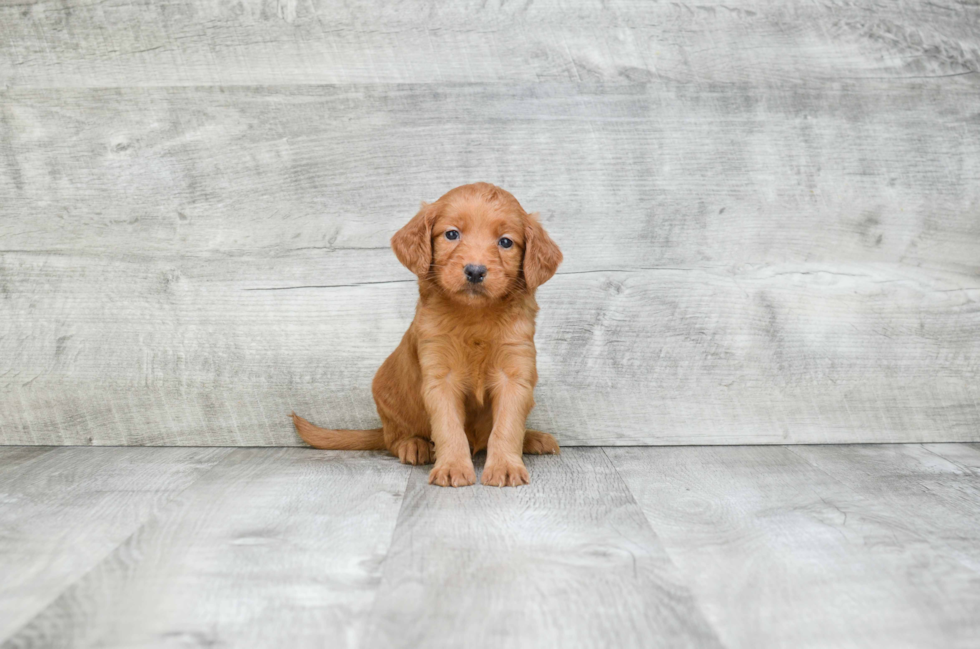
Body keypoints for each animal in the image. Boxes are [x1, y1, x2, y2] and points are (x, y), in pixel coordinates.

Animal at [290, 182, 564, 486]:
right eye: (452, 234)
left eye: (505, 242)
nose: (475, 271)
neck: (475, 317)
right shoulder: (440, 375)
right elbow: (448, 426)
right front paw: (453, 466)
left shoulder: (514, 372)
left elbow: (507, 426)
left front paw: (504, 466)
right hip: (387, 398)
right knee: (394, 439)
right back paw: (415, 445)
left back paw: (533, 439)